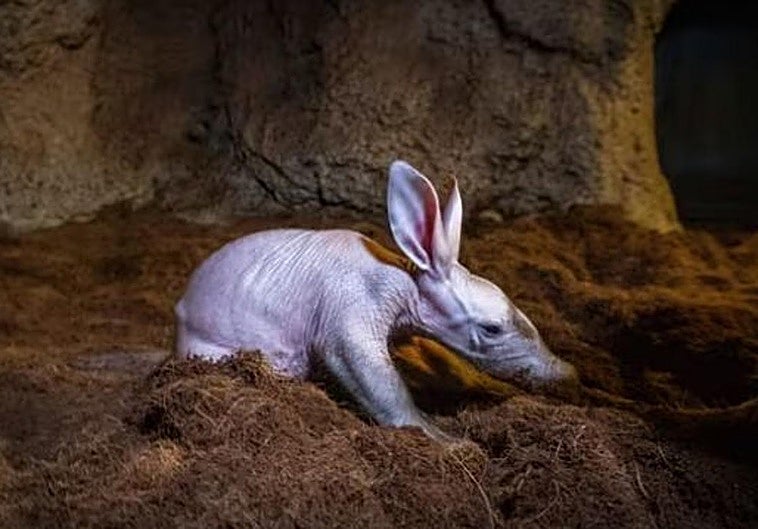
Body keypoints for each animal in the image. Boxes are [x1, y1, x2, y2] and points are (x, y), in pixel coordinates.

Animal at [174, 160, 578, 440]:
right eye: (492, 328)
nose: (566, 372)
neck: (409, 279)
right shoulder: (351, 307)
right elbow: (366, 365)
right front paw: (444, 438)